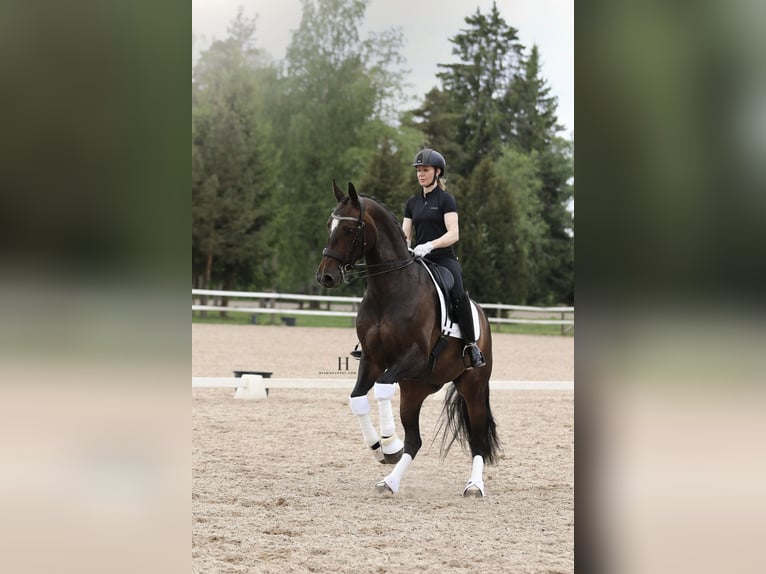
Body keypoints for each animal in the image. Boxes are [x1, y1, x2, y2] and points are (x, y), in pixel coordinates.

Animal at [315, 180, 499, 497]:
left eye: (350, 229)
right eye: (330, 224)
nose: (325, 277)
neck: (389, 290)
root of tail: (481, 314)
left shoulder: (413, 357)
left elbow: (381, 389)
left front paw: (389, 443)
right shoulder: (373, 360)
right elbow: (358, 398)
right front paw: (380, 448)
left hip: (472, 386)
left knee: (477, 437)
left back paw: (474, 485)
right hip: (416, 388)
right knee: (415, 440)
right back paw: (390, 482)